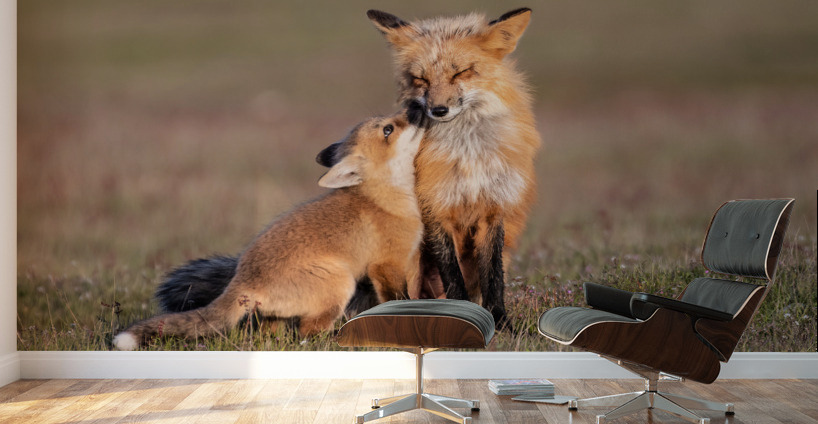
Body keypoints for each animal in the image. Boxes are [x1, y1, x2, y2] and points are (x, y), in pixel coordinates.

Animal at [113, 106, 426, 350]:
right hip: (340, 283)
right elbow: (397, 300)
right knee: (308, 334)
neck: (383, 200)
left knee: (272, 335)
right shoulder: (385, 264)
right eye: (388, 129)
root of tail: (243, 281)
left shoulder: (406, 263)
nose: (418, 107)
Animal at [357, 8, 542, 329]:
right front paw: (460, 315)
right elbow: (452, 274)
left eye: (461, 72)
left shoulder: (493, 208)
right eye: (421, 79)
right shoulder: (434, 208)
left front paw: (500, 321)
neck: (466, 153)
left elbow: (493, 277)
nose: (438, 110)